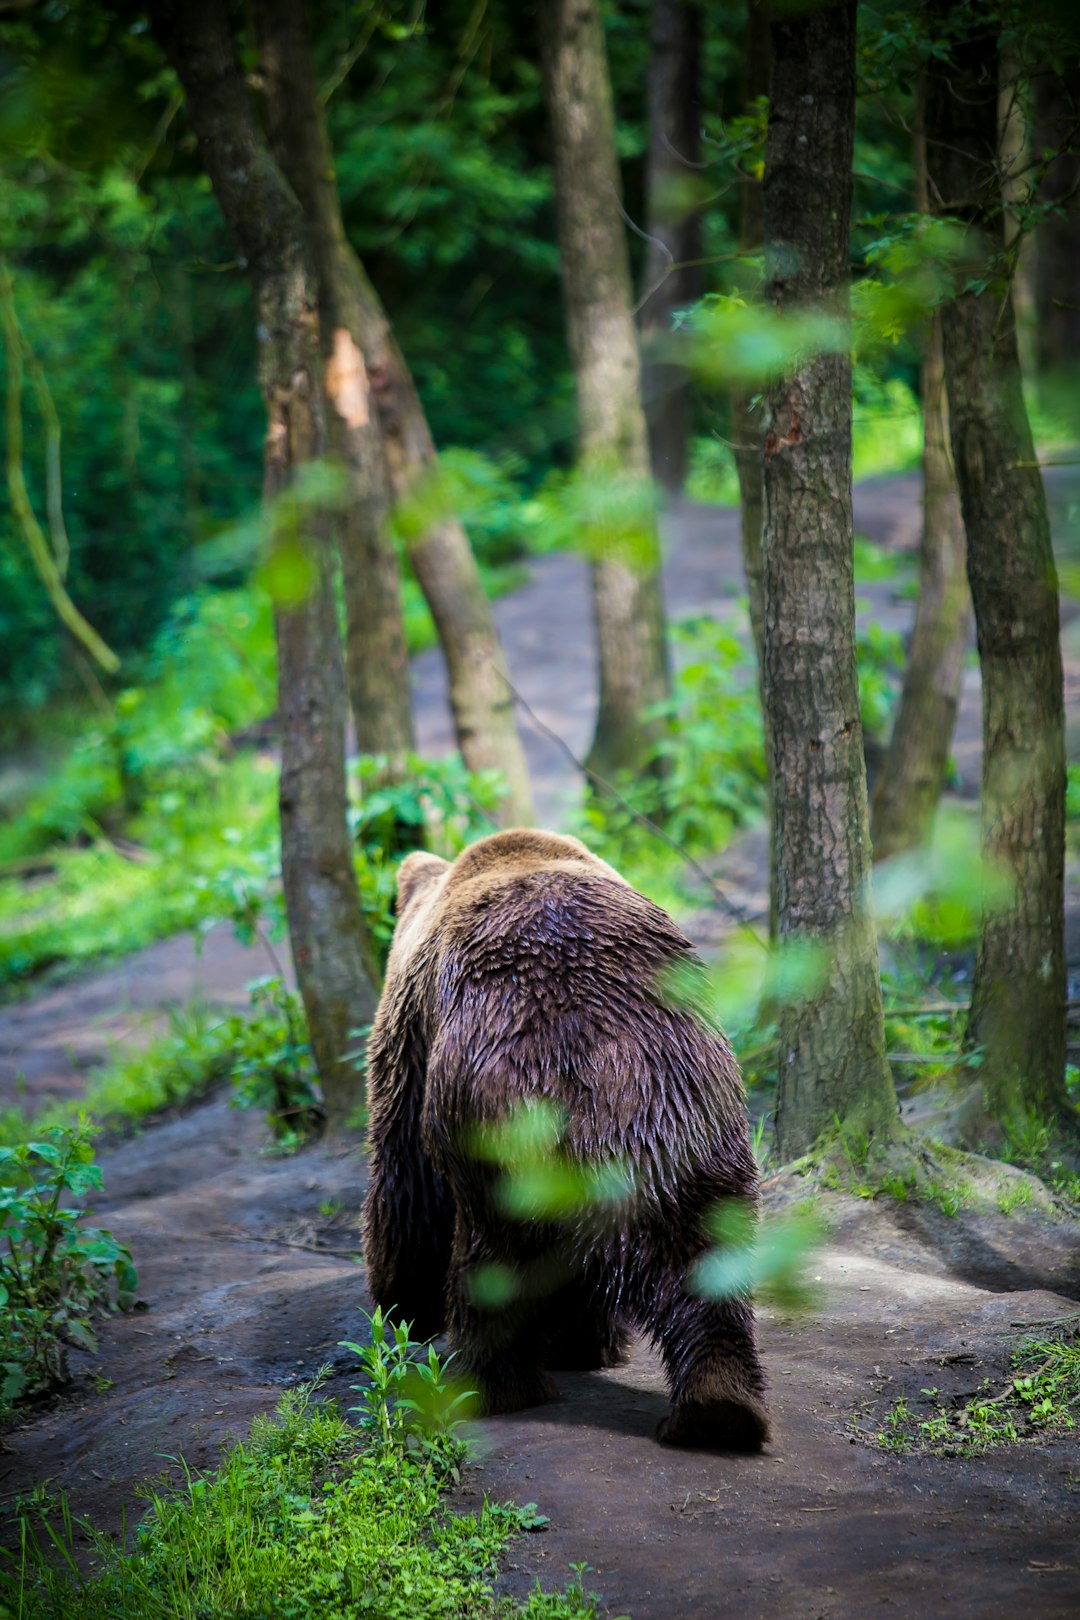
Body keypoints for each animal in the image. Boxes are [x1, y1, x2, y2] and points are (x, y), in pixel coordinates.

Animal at [362, 829, 767, 1451]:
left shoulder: (412, 1038)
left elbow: (405, 1181)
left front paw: (402, 1302)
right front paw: (588, 1341)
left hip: (497, 1112)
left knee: (492, 1260)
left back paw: (488, 1384)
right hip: (687, 1108)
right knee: (705, 1252)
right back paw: (717, 1409)